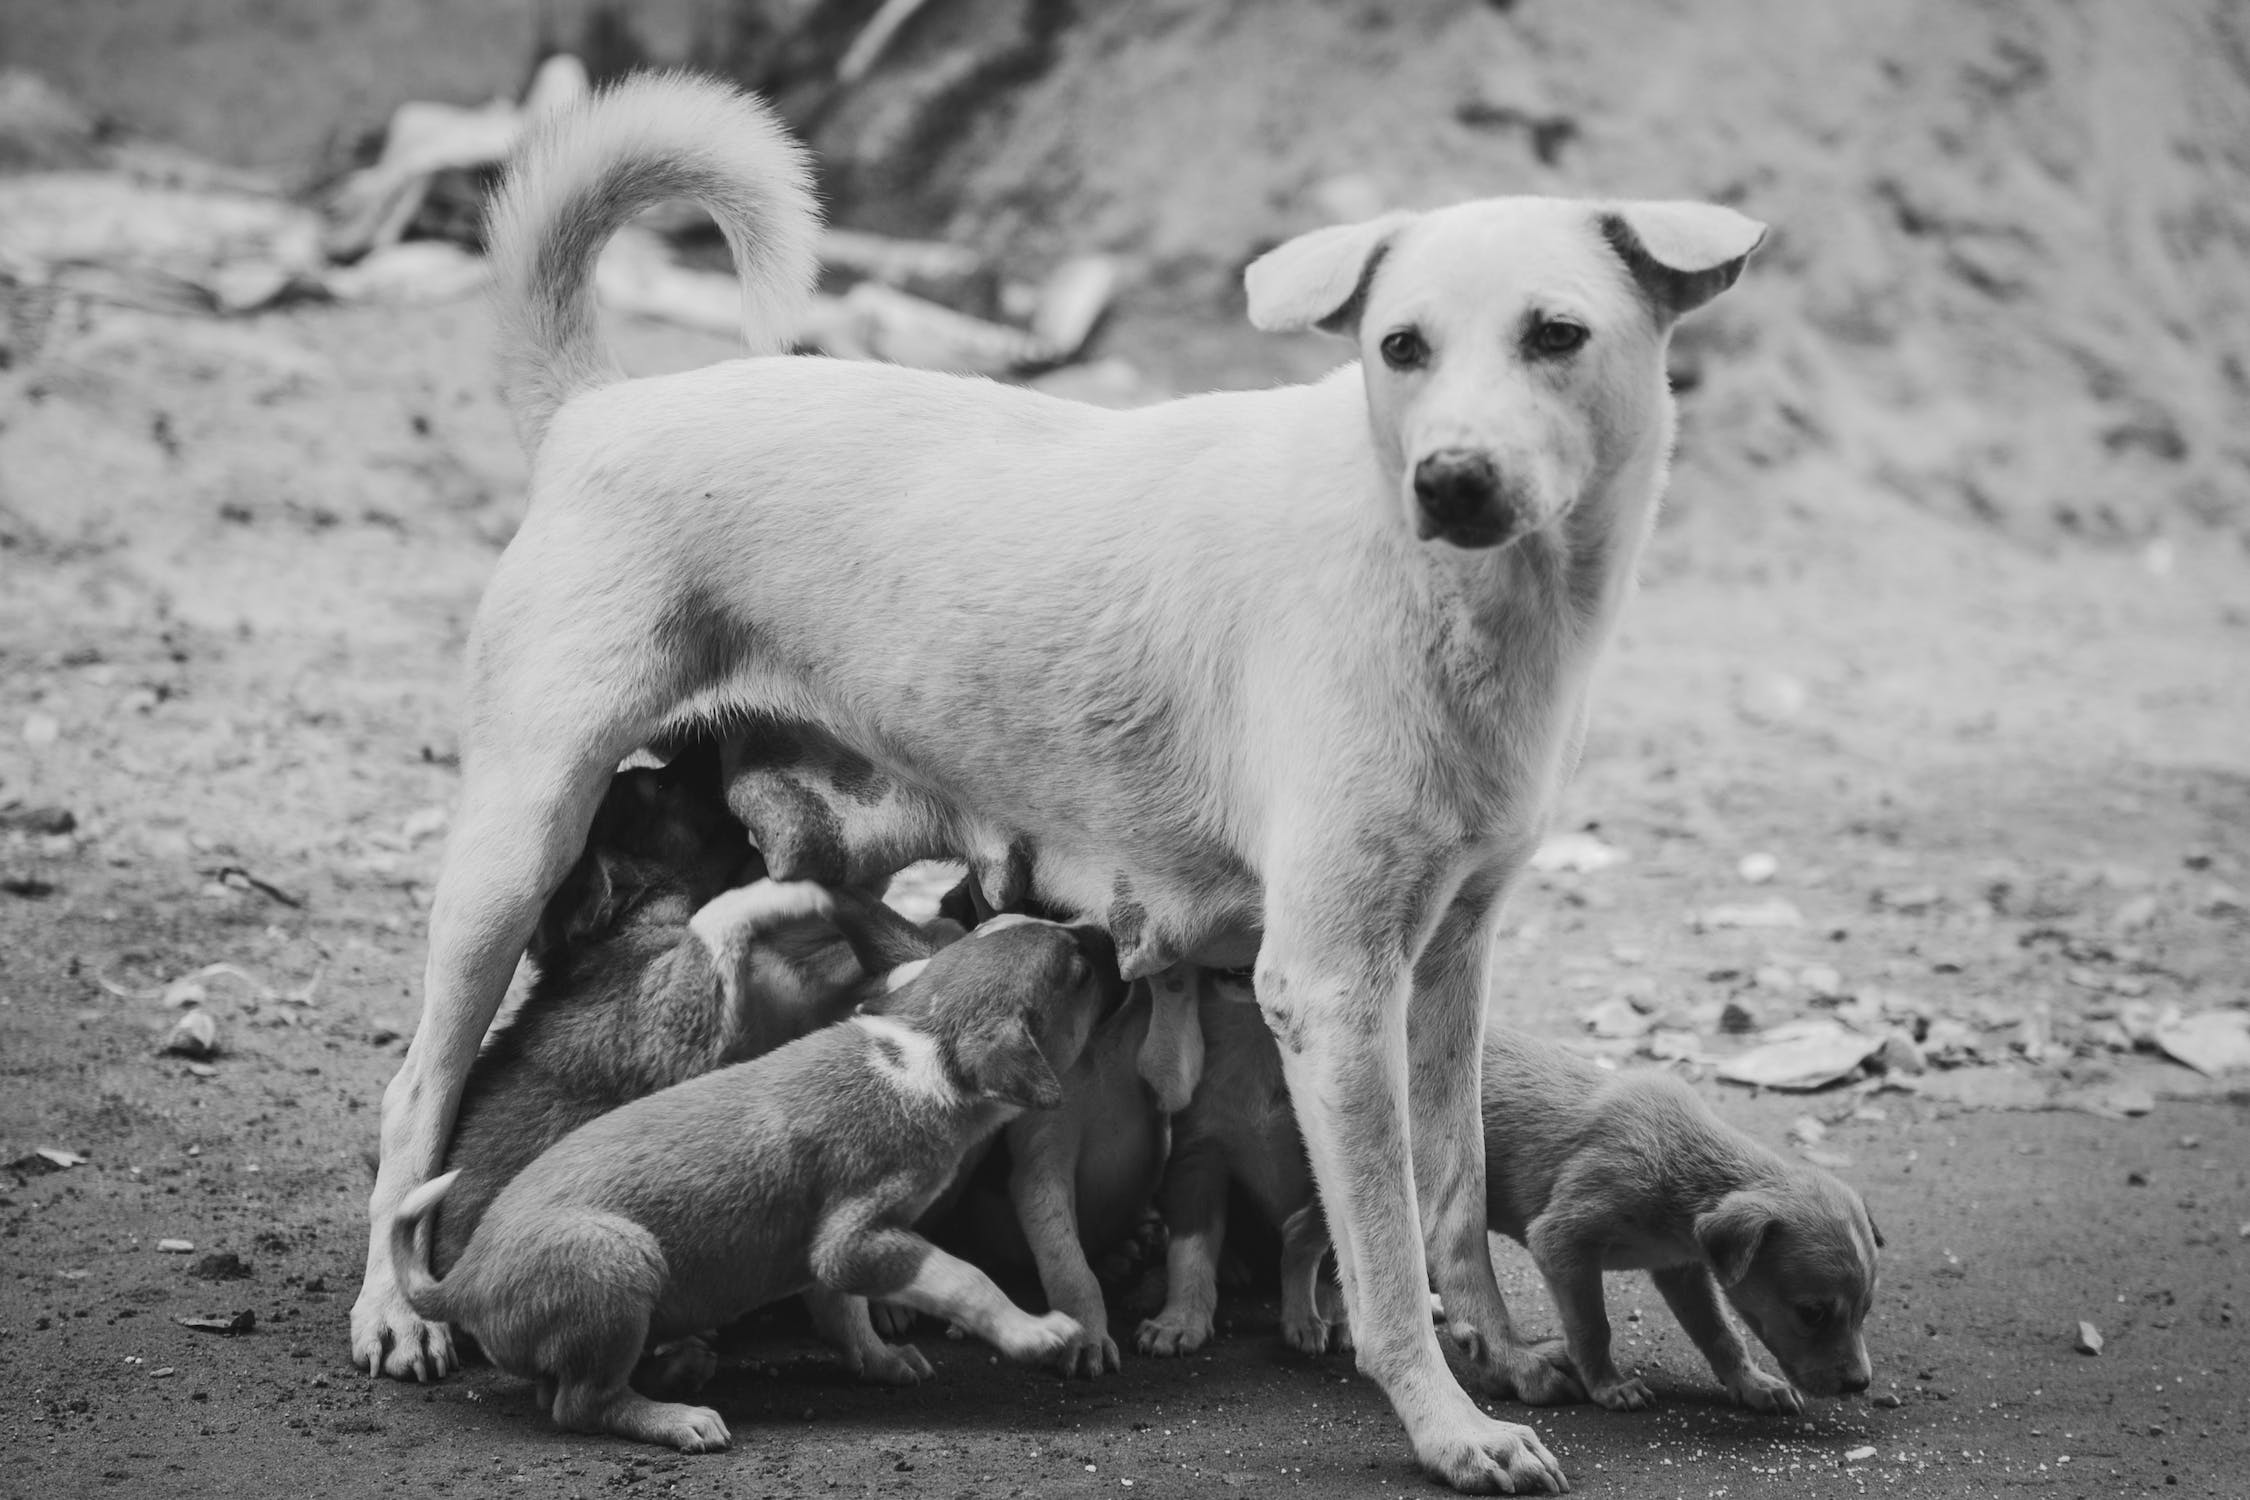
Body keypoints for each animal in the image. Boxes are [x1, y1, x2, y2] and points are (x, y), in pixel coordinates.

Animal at [391, 922, 1125, 1448]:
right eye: (1080, 973)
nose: (1108, 931)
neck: (922, 1050)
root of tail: (462, 1283)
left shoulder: (819, 1250)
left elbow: (845, 1313)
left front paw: (881, 1361)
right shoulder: (852, 1238)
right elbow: (963, 1277)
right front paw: (1036, 1333)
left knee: (562, 1390)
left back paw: (680, 1364)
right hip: (618, 1256)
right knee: (579, 1404)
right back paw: (677, 1416)